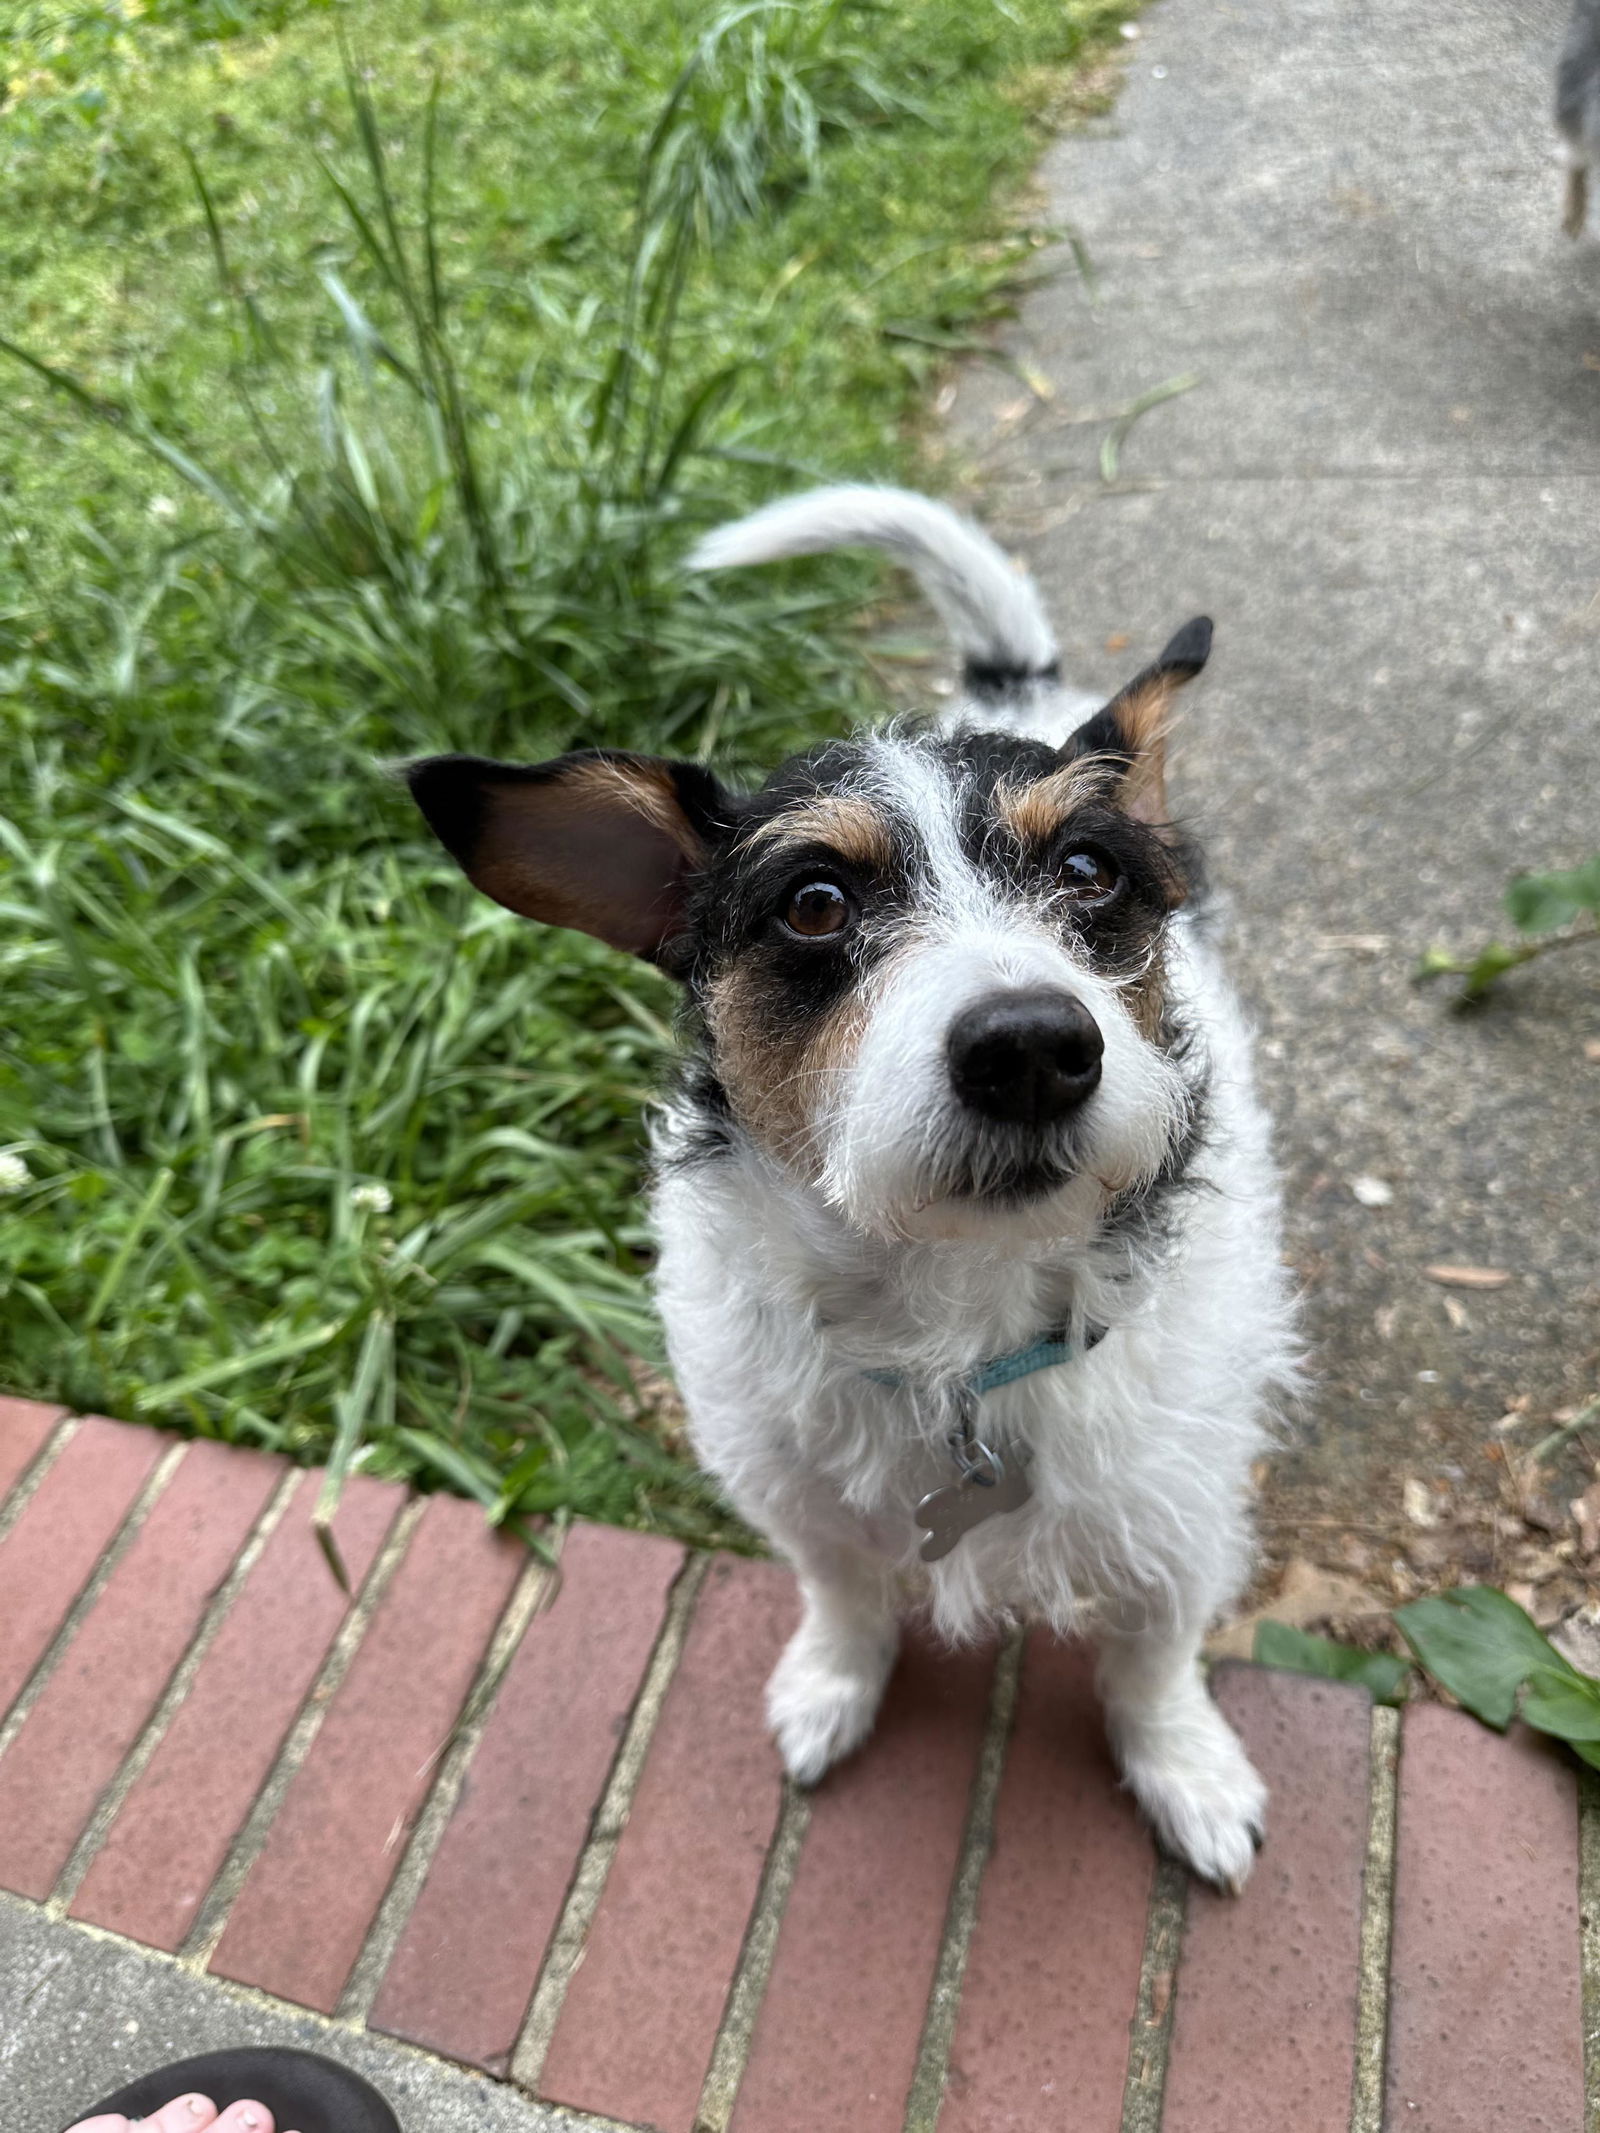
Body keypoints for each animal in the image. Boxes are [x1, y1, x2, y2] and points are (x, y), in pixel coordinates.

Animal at [407, 484, 1297, 1885]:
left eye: (1088, 873)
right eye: (815, 902)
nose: (1031, 1047)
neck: (957, 1337)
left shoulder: (1174, 1513)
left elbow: (1152, 1659)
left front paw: (1188, 1771)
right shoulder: (799, 1500)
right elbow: (843, 1595)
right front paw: (831, 1687)